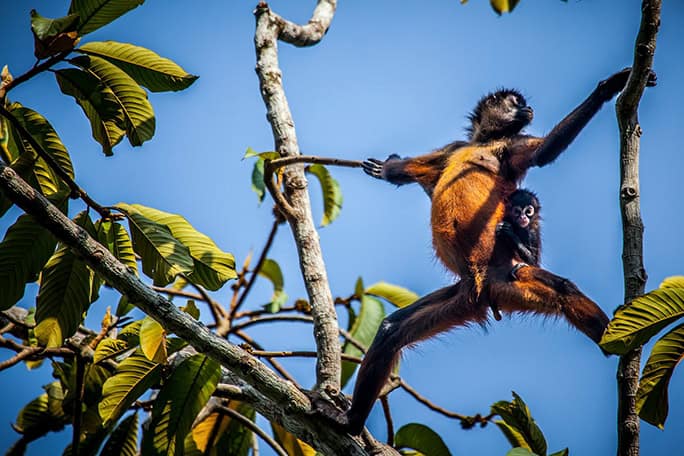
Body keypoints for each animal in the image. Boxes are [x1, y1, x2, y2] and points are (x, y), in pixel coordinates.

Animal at [323, 68, 657, 435]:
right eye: (516, 103)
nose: (529, 109)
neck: (484, 142)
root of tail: (483, 288)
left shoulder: (511, 147)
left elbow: (543, 153)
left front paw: (609, 87)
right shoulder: (456, 147)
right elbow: (421, 172)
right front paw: (388, 168)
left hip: (507, 275)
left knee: (564, 291)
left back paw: (618, 345)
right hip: (463, 296)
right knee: (390, 332)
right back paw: (353, 422)